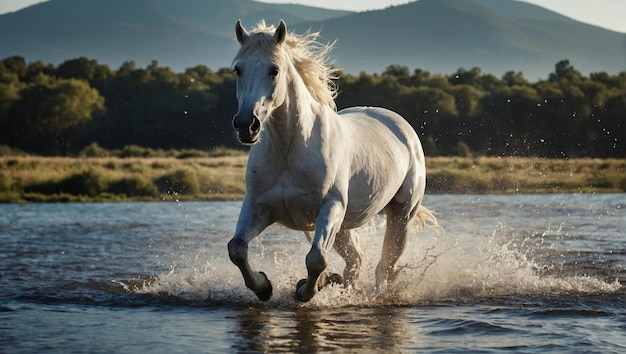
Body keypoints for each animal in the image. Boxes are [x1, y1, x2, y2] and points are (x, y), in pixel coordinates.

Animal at [227, 20, 436, 302]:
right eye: (238, 69)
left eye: (274, 70)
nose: (246, 125)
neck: (289, 150)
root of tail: (402, 128)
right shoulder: (259, 206)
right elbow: (237, 248)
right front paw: (264, 286)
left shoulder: (330, 207)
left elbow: (316, 259)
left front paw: (305, 290)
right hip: (343, 227)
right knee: (356, 261)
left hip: (401, 214)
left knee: (384, 267)